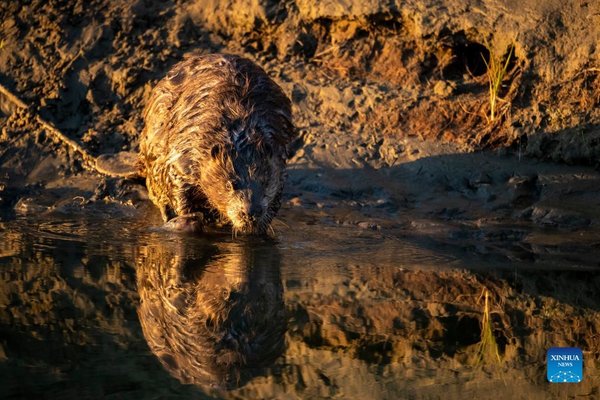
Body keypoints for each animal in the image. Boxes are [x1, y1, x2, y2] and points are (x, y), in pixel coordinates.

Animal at [138, 53, 292, 234]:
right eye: (230, 185)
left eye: (265, 182)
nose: (250, 213)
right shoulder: (184, 152)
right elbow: (178, 185)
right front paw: (189, 217)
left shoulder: (278, 158)